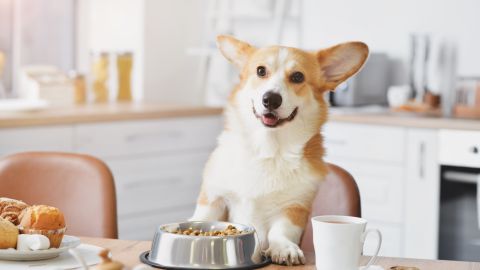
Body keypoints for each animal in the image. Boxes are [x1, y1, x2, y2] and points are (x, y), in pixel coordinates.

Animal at [191, 34, 368, 264]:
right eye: (260, 71)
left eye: (298, 77)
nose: (271, 99)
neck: (267, 149)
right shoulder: (214, 198)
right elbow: (202, 218)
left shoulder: (294, 208)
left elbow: (281, 230)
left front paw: (283, 248)